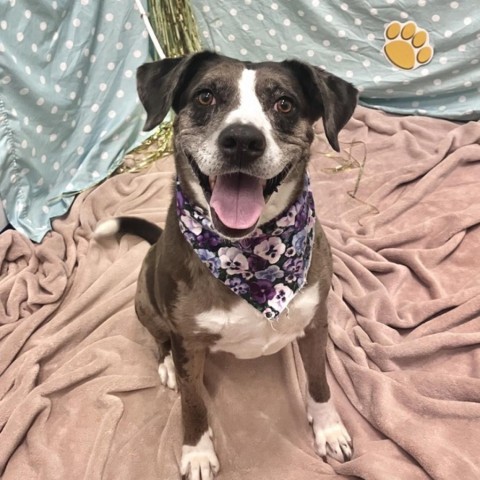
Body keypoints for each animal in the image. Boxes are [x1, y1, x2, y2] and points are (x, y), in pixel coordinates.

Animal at [94, 50, 356, 478]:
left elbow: (319, 382)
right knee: (159, 340)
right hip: (144, 302)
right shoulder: (187, 342)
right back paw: (167, 365)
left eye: (284, 103)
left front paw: (329, 429)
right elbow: (192, 402)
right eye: (205, 96)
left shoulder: (315, 322)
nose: (242, 141)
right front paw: (197, 451)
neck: (248, 257)